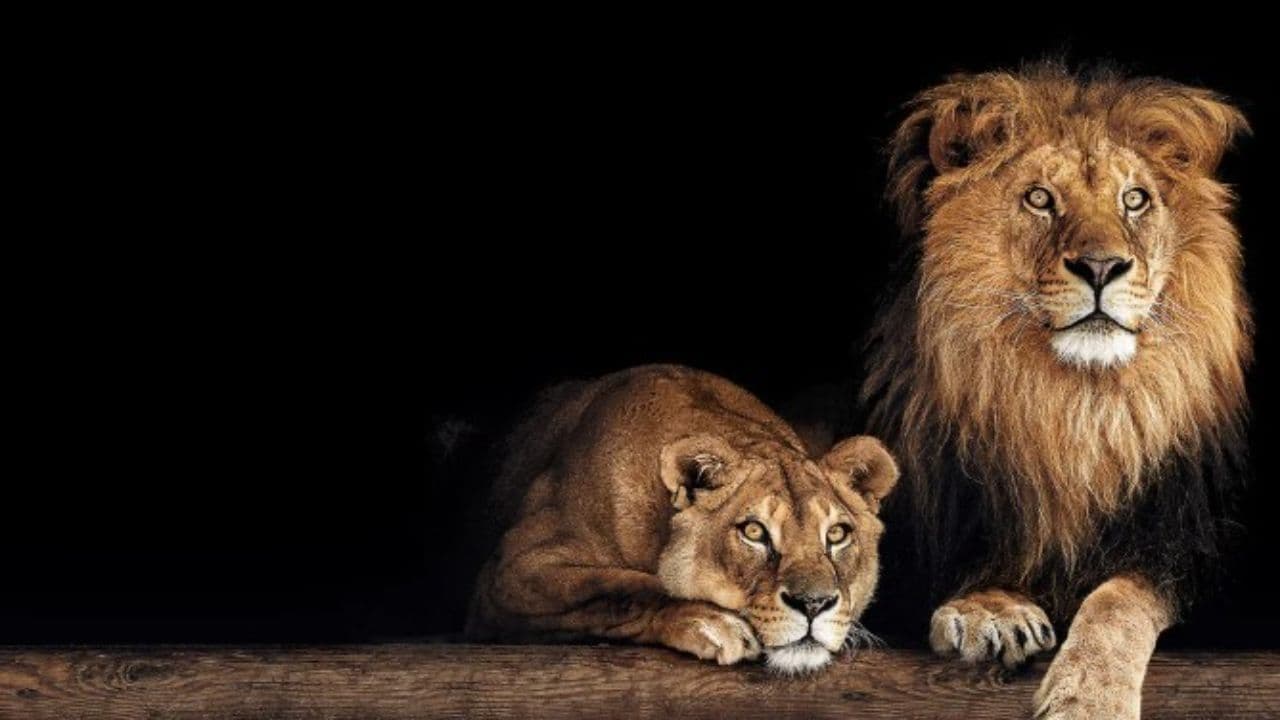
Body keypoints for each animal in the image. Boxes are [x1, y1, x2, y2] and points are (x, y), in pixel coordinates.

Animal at [466, 364, 899, 675]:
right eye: (754, 532)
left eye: (837, 534)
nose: (813, 604)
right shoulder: (511, 569)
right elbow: (622, 588)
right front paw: (712, 620)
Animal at [860, 63, 1251, 718]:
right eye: (1040, 198)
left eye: (1134, 199)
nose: (1101, 267)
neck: (1072, 407)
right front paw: (990, 610)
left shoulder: (1186, 546)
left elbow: (1120, 596)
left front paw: (1090, 695)